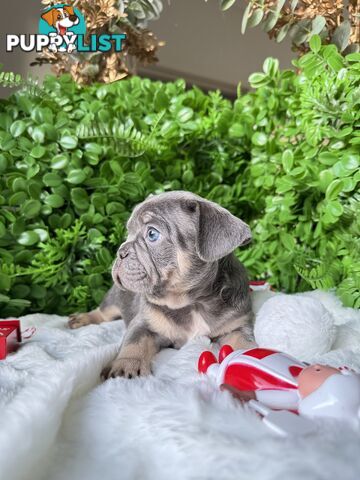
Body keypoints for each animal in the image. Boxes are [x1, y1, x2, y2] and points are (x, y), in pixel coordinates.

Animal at [69, 191, 255, 378]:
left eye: (152, 234)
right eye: (128, 233)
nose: (120, 252)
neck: (192, 302)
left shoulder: (237, 326)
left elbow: (243, 343)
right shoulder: (143, 323)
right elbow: (135, 342)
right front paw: (126, 365)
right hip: (114, 299)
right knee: (103, 312)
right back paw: (82, 318)